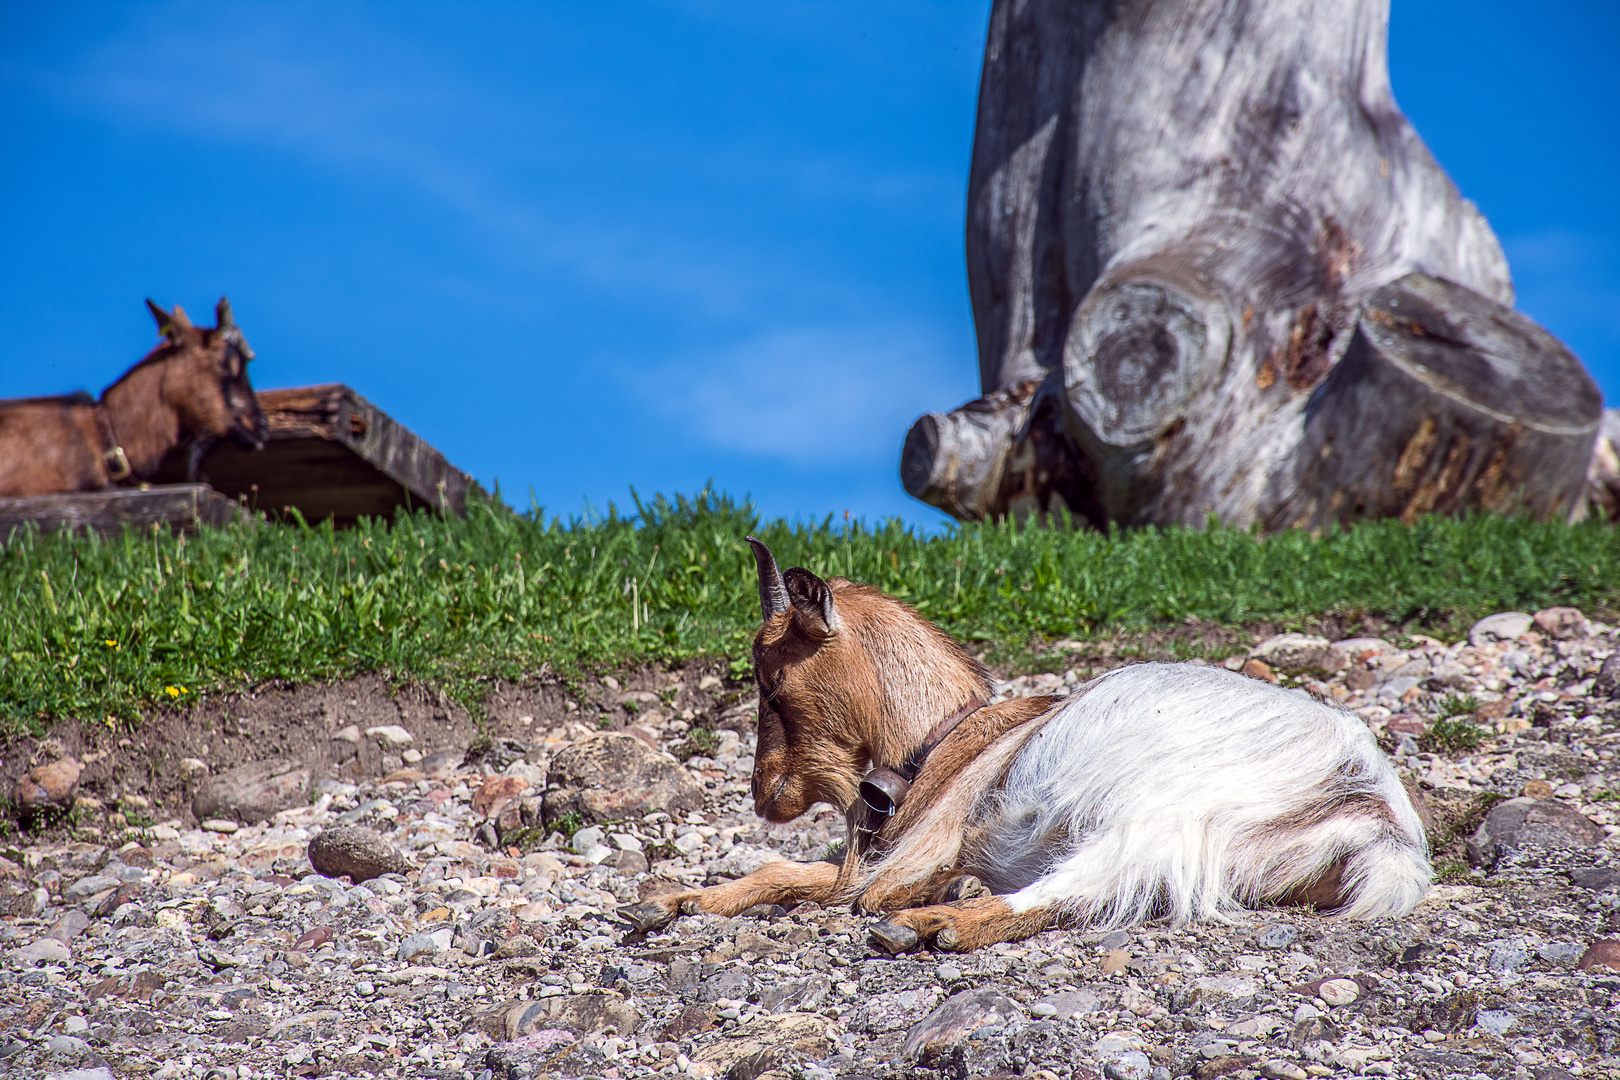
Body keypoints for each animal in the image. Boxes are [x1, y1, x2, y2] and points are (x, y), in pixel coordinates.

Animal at [618, 540, 1432, 952]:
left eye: (769, 680)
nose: (765, 795)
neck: (947, 743)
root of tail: (1372, 802)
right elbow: (790, 870)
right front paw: (671, 901)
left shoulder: (923, 846)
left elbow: (853, 886)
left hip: (1158, 809)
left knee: (1075, 892)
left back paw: (937, 922)